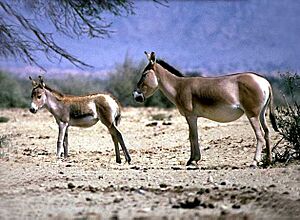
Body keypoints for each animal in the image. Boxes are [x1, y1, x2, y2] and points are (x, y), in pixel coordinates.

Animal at [132, 52, 278, 167]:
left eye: (144, 74)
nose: (135, 96)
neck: (178, 87)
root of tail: (265, 81)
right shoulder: (193, 116)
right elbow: (192, 136)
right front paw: (193, 159)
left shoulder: (190, 116)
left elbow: (192, 136)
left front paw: (193, 160)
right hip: (261, 114)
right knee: (267, 132)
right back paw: (268, 161)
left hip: (252, 114)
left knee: (259, 135)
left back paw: (254, 162)